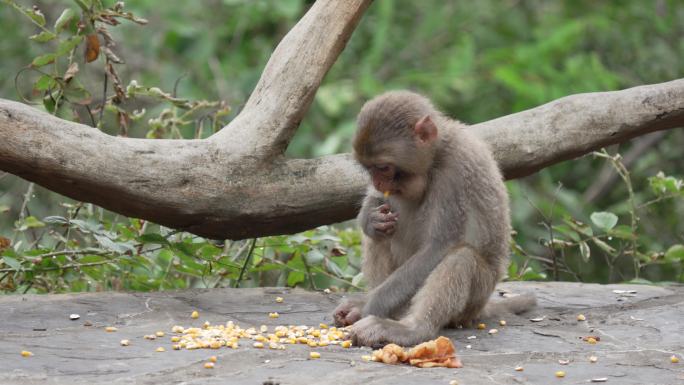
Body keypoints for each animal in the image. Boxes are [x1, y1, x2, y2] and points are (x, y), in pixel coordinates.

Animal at [334, 91, 536, 348]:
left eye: (383, 167)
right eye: (369, 169)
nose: (378, 182)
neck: (437, 155)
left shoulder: (455, 171)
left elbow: (439, 246)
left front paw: (367, 308)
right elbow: (379, 205)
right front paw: (370, 217)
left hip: (477, 297)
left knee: (461, 258)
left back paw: (411, 329)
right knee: (381, 236)